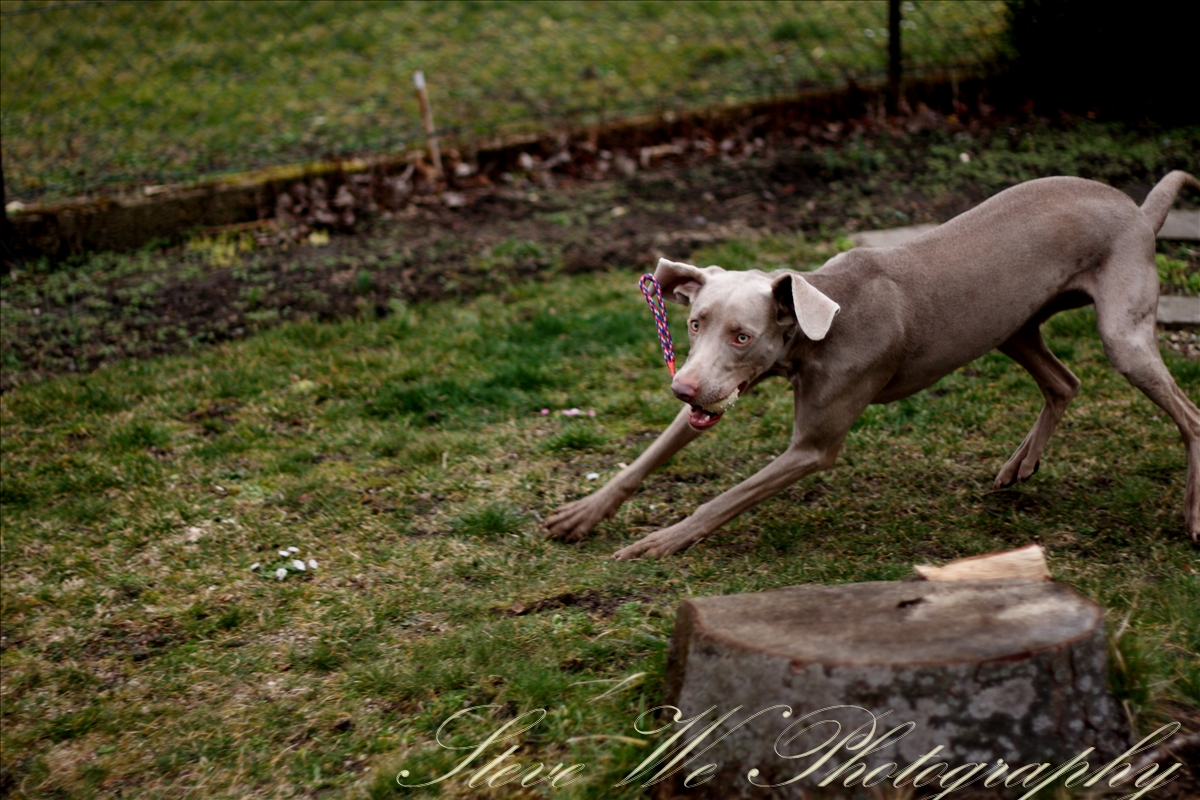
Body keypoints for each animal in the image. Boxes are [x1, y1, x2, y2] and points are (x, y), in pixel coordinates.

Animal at [547, 170, 1200, 556]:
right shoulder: (718, 394)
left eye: (742, 336)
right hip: (1010, 327)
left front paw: (664, 539)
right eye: (694, 324)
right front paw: (583, 513)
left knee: (1187, 415)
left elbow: (727, 496)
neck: (815, 329)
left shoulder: (812, 447)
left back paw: (1192, 516)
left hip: (1121, 336)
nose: (682, 389)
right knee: (1063, 382)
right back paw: (1021, 464)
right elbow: (650, 455)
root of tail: (1141, 212)